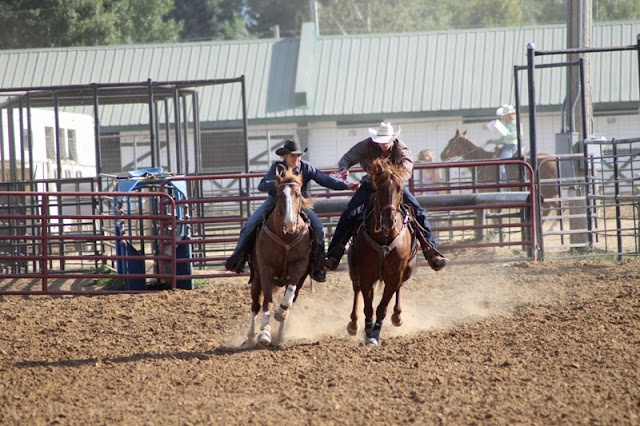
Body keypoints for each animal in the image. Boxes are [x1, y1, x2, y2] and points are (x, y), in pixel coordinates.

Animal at [248, 167, 312, 346]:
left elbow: (289, 295)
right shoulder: (266, 269)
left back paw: (279, 336)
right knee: (255, 305)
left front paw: (281, 313)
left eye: (298, 194)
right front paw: (264, 333)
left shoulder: (300, 266)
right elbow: (267, 302)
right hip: (256, 278)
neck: (287, 237)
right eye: (278, 195)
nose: (289, 224)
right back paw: (251, 335)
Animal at [348, 159, 418, 346]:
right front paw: (367, 331)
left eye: (399, 188)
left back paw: (397, 316)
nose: (389, 220)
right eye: (379, 188)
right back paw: (353, 324)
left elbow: (382, 308)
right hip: (354, 269)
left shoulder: (394, 276)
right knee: (356, 289)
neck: (385, 238)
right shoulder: (366, 274)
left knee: (400, 288)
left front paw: (375, 334)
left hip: (407, 270)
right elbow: (368, 307)